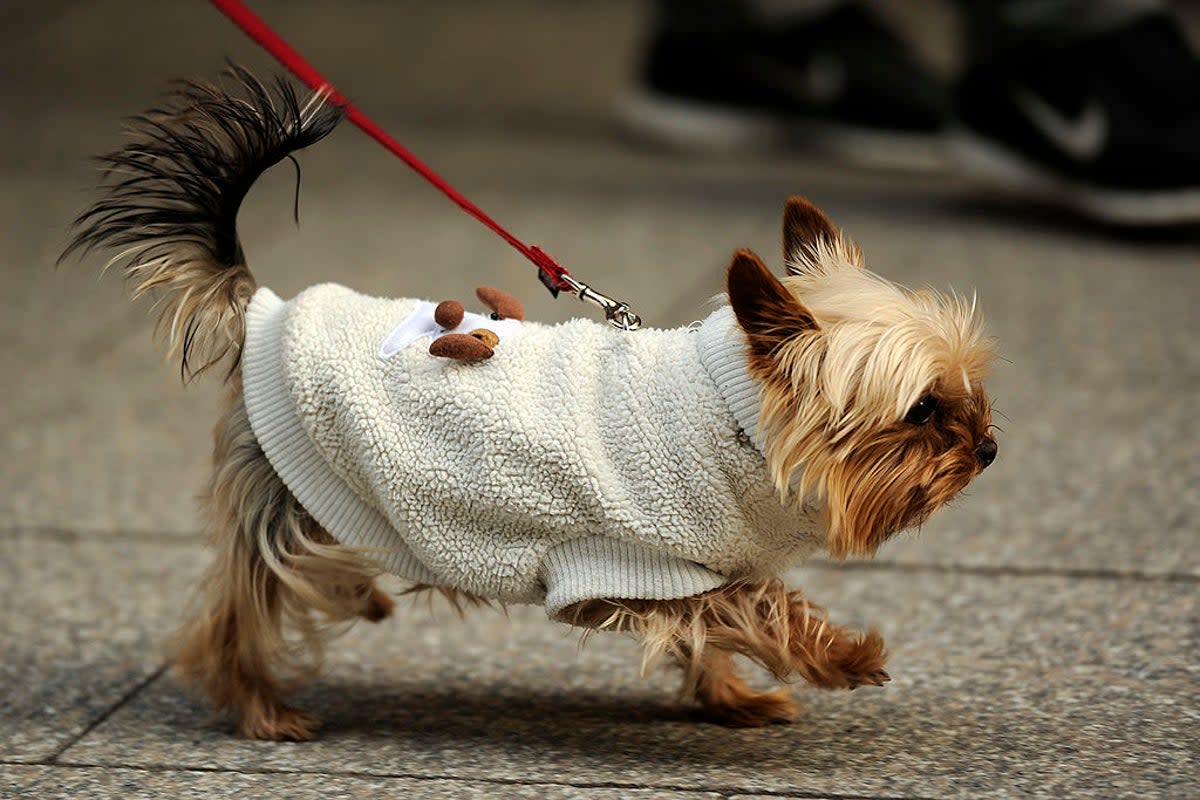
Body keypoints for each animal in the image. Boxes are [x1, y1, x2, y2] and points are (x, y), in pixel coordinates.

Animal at [68, 68, 1003, 738]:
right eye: (923, 412)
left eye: (971, 392)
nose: (989, 449)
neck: (738, 422)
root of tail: (264, 309)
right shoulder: (634, 564)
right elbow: (754, 608)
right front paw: (845, 655)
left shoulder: (703, 561)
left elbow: (724, 619)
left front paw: (732, 698)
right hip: (291, 493)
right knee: (237, 611)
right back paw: (262, 708)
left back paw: (355, 601)